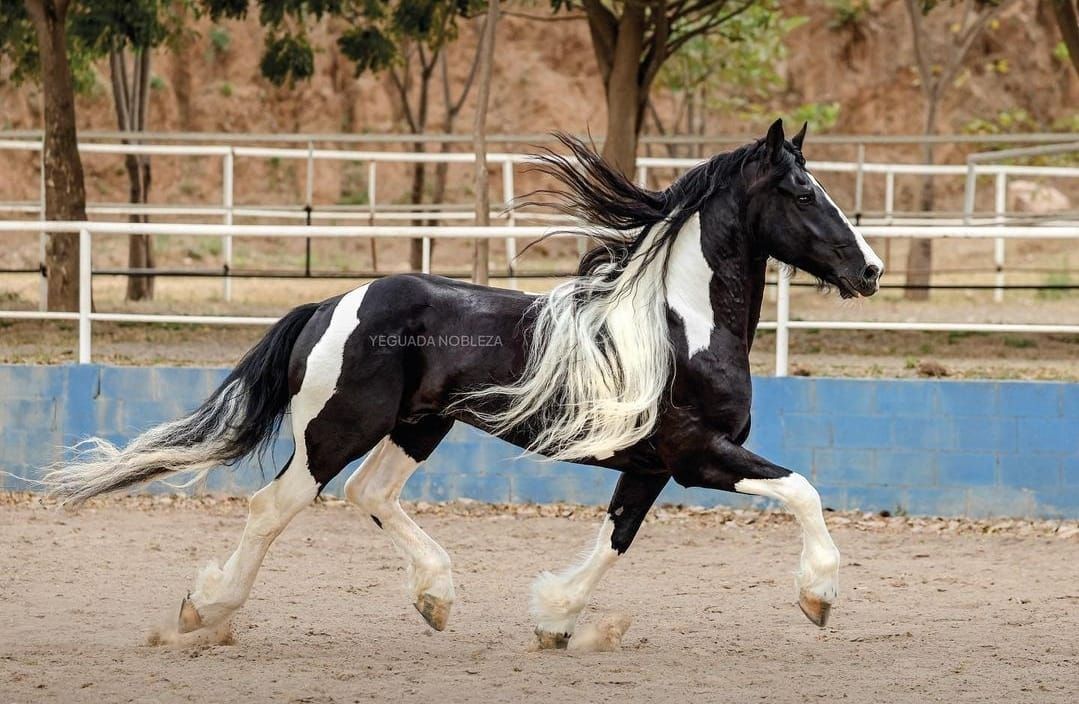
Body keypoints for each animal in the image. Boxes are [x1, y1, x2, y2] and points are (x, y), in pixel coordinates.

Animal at [46, 119, 883, 649]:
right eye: (803, 193)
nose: (869, 269)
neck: (681, 327)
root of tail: (332, 303)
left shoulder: (647, 464)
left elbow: (616, 538)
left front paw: (554, 618)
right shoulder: (695, 454)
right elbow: (801, 489)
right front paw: (818, 597)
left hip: (420, 425)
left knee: (371, 494)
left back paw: (436, 599)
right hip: (335, 430)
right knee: (275, 506)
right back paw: (204, 610)